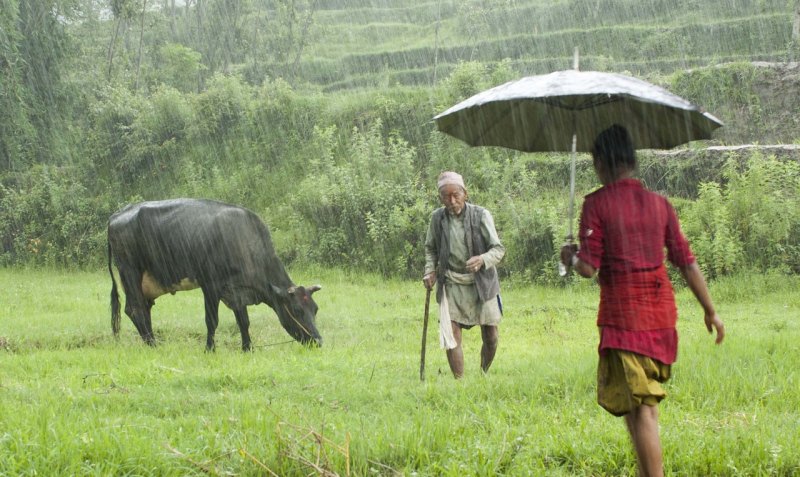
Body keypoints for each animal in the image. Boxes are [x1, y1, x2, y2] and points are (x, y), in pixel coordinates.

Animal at [108, 197, 324, 350]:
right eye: (296, 310)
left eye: (315, 309)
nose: (318, 341)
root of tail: (117, 215)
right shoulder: (210, 285)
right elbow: (211, 321)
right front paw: (209, 349)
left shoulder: (237, 290)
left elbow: (243, 321)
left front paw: (248, 348)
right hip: (129, 271)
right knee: (134, 309)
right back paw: (152, 345)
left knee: (144, 309)